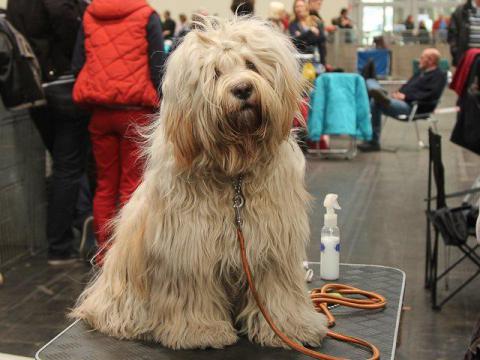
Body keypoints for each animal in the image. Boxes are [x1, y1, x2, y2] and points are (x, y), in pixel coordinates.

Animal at [70, 16, 326, 348]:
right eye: (215, 73)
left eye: (251, 65)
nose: (242, 88)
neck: (234, 174)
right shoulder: (189, 247)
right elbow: (193, 294)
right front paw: (200, 331)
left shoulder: (273, 245)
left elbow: (278, 291)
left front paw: (292, 327)